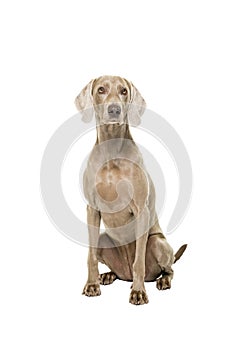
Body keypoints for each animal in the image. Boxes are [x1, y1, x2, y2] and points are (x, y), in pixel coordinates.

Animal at [75, 75, 187, 304]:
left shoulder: (140, 210)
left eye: (124, 91)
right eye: (101, 90)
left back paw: (161, 281)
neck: (111, 152)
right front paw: (91, 285)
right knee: (114, 267)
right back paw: (108, 275)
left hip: (158, 243)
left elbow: (138, 263)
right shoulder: (92, 209)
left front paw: (138, 291)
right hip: (103, 239)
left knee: (168, 269)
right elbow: (90, 256)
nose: (114, 109)